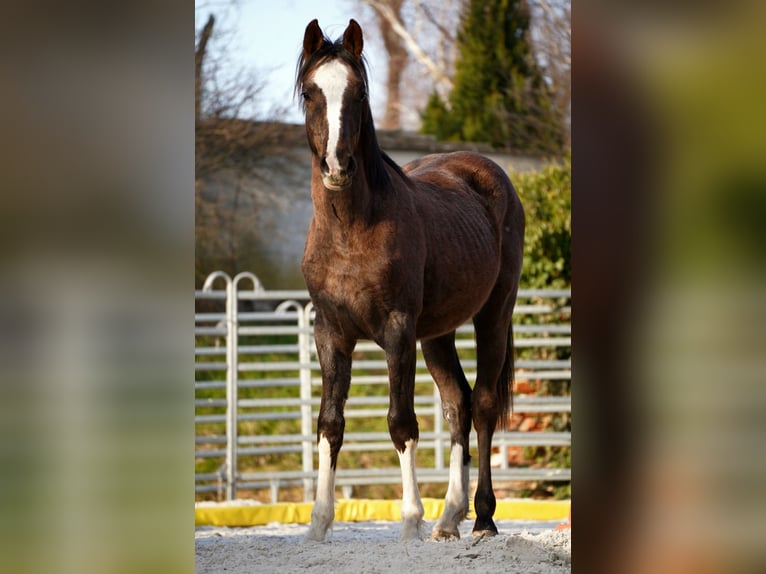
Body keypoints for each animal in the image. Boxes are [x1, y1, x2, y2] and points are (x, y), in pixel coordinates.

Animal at [296, 19, 524, 544]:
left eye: (359, 93)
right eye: (311, 92)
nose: (338, 166)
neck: (351, 229)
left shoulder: (397, 332)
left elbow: (401, 423)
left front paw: (409, 521)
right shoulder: (330, 334)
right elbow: (330, 422)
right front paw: (319, 522)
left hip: (494, 313)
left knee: (483, 403)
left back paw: (482, 517)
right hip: (438, 333)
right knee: (457, 402)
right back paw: (449, 517)